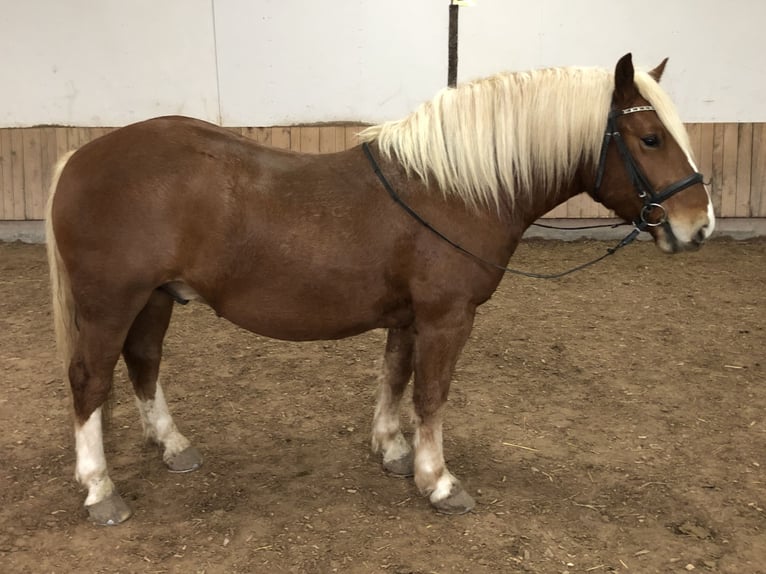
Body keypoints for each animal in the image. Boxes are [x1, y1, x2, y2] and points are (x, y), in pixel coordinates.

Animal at [46, 53, 714, 525]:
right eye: (650, 138)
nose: (699, 225)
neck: (452, 190)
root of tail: (80, 156)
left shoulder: (408, 317)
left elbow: (394, 377)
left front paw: (392, 451)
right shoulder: (447, 318)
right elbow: (432, 395)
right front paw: (437, 480)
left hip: (155, 297)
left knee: (144, 361)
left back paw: (172, 444)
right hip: (111, 304)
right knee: (89, 381)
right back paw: (100, 489)